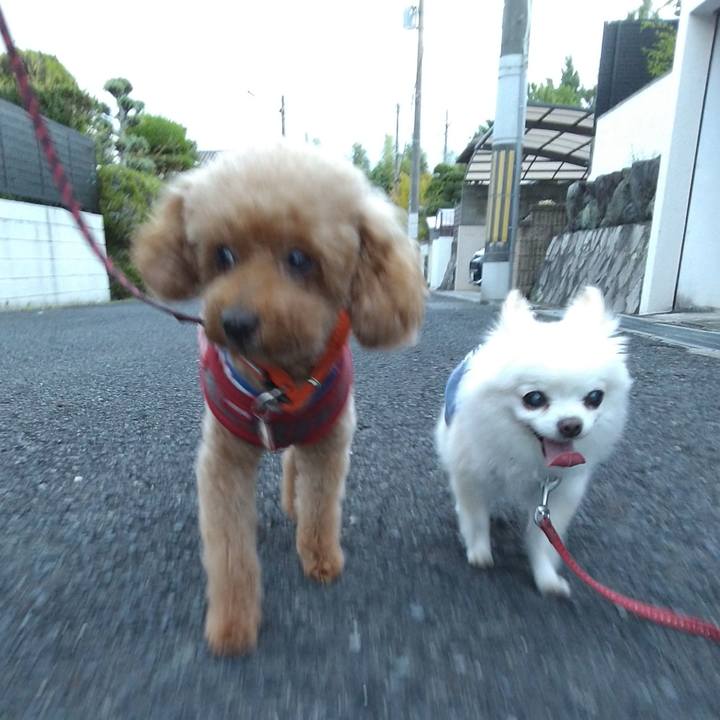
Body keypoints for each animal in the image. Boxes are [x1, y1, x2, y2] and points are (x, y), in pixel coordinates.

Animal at [132, 143, 425, 654]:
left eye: (300, 259)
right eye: (223, 254)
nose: (235, 323)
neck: (277, 382)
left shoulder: (328, 442)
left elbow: (321, 505)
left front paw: (321, 558)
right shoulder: (223, 461)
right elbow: (229, 551)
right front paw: (232, 625)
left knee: (294, 467)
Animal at [436, 287, 631, 596]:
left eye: (594, 397)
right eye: (534, 398)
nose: (571, 425)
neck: (527, 458)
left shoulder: (558, 495)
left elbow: (544, 541)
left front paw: (546, 577)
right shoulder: (472, 476)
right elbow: (475, 517)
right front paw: (479, 551)